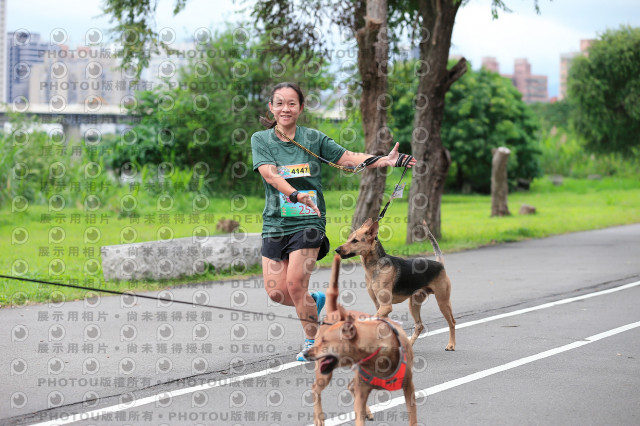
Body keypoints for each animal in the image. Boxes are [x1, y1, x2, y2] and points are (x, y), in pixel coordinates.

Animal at [304, 255, 420, 426]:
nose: (305, 353)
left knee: (350, 386)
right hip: (324, 375)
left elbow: (412, 418)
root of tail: (333, 313)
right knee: (315, 388)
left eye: (325, 341)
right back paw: (319, 417)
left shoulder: (408, 387)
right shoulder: (362, 389)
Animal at [336, 218, 456, 352]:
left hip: (442, 301)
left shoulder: (386, 306)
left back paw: (451, 345)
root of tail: (439, 263)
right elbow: (382, 327)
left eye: (355, 241)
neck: (375, 266)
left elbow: (373, 321)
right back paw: (408, 345)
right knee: (419, 325)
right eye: (348, 238)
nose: (337, 250)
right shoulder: (379, 306)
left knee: (452, 322)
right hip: (414, 303)